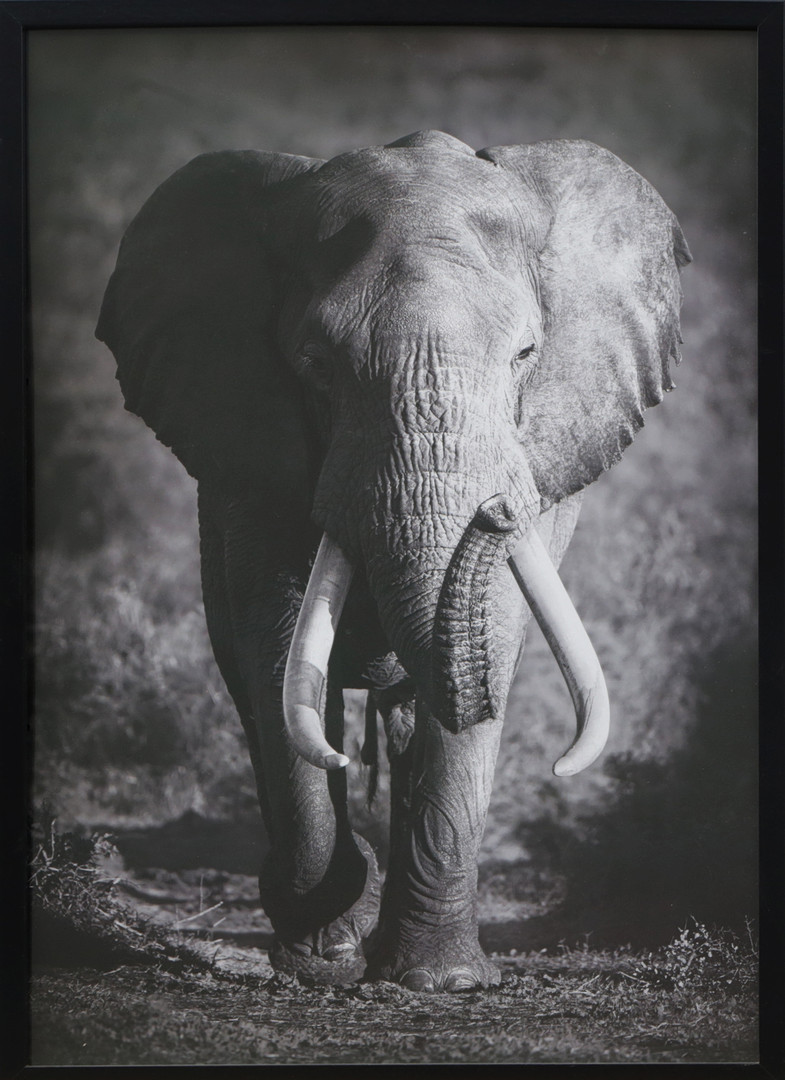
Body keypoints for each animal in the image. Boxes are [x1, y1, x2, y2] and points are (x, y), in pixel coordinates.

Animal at [96, 130, 690, 991]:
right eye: (315, 362)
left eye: (525, 354)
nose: (494, 511)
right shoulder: (250, 454)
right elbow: (277, 647)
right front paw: (320, 964)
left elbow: (492, 635)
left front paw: (441, 982)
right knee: (255, 686)